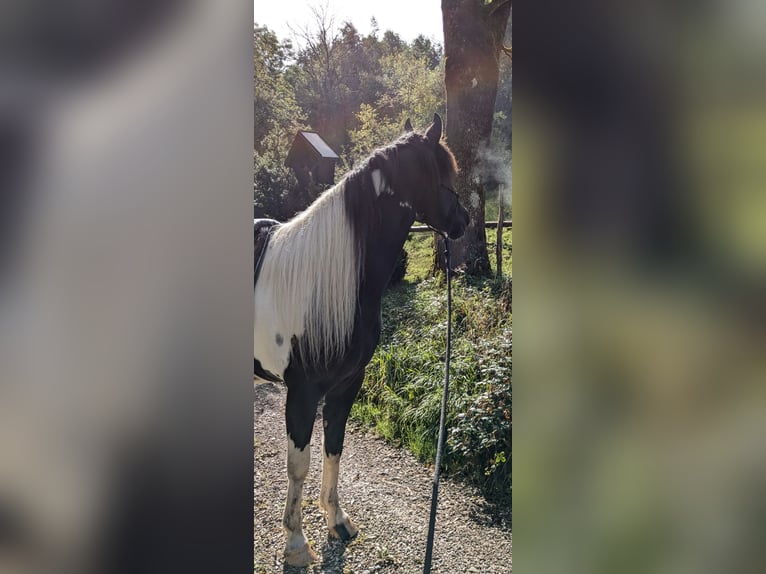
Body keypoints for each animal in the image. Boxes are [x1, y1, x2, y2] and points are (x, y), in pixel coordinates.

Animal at [255, 112, 472, 568]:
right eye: (444, 173)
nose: (464, 221)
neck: (327, 283)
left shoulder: (347, 385)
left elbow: (334, 447)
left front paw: (337, 520)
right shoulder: (301, 394)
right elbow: (298, 465)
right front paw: (296, 543)